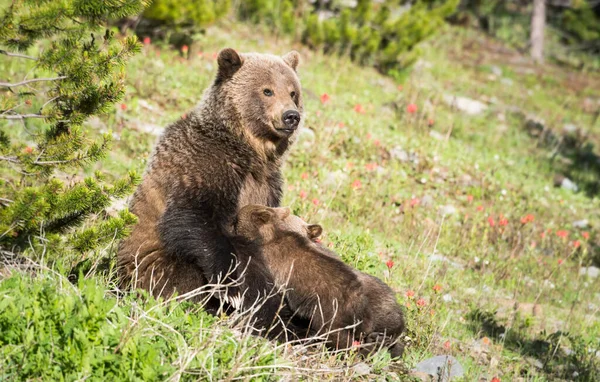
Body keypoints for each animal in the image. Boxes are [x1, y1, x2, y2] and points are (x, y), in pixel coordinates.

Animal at [117, 47, 304, 338]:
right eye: (267, 90)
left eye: (293, 91)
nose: (291, 116)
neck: (249, 151)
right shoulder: (206, 165)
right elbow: (193, 218)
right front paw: (233, 289)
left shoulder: (267, 184)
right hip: (146, 265)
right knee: (181, 275)